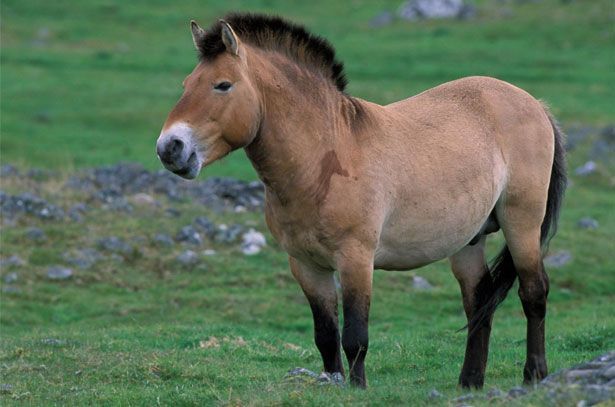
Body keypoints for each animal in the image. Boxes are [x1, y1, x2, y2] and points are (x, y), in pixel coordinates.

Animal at [158, 12, 568, 388]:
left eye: (222, 85)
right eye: (186, 84)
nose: (170, 148)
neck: (323, 160)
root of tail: (535, 104)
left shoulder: (356, 259)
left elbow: (355, 336)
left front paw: (357, 388)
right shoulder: (306, 266)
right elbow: (326, 336)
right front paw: (333, 383)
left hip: (522, 223)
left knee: (534, 293)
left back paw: (534, 375)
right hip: (469, 240)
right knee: (479, 301)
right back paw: (470, 382)